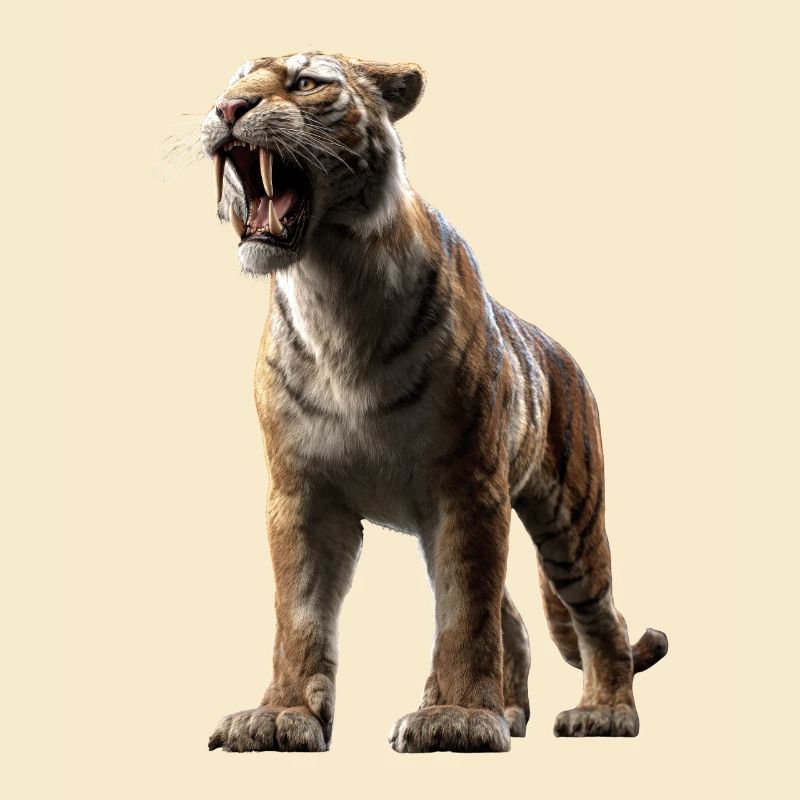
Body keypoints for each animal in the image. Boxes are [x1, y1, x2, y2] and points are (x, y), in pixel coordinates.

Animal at [200, 52, 668, 753]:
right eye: (231, 83)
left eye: (306, 83)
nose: (229, 109)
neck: (332, 286)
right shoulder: (302, 491)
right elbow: (299, 612)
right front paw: (281, 716)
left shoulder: (466, 488)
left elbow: (464, 615)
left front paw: (456, 718)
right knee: (516, 621)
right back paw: (513, 710)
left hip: (572, 522)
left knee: (601, 618)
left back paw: (605, 715)